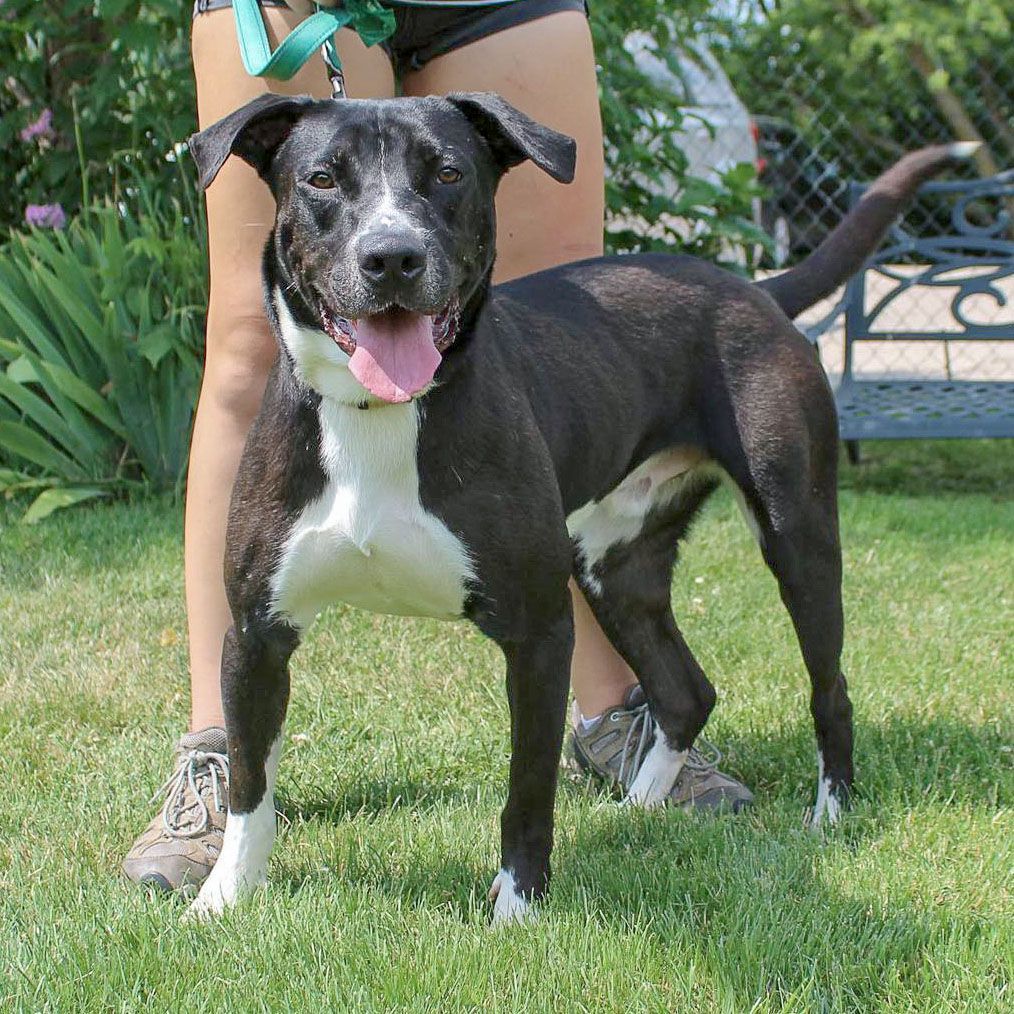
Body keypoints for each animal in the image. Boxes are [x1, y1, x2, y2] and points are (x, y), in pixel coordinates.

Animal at [186, 91, 969, 924]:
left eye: (448, 172)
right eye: (323, 178)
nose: (392, 256)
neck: (378, 414)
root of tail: (753, 287)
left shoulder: (537, 634)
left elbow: (528, 785)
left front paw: (518, 904)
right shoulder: (257, 635)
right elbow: (249, 782)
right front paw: (223, 896)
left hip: (798, 538)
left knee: (830, 687)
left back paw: (831, 812)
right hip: (612, 564)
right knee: (686, 692)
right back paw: (639, 809)